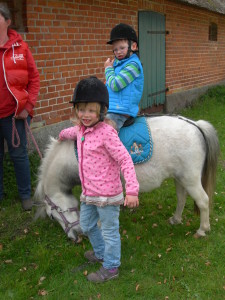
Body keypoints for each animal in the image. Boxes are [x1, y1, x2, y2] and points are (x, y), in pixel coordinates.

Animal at [33, 115, 220, 241]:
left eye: (52, 216)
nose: (74, 237)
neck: (77, 154)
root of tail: (196, 125)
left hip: (190, 179)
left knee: (203, 201)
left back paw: (202, 230)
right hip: (180, 177)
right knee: (181, 198)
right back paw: (176, 219)